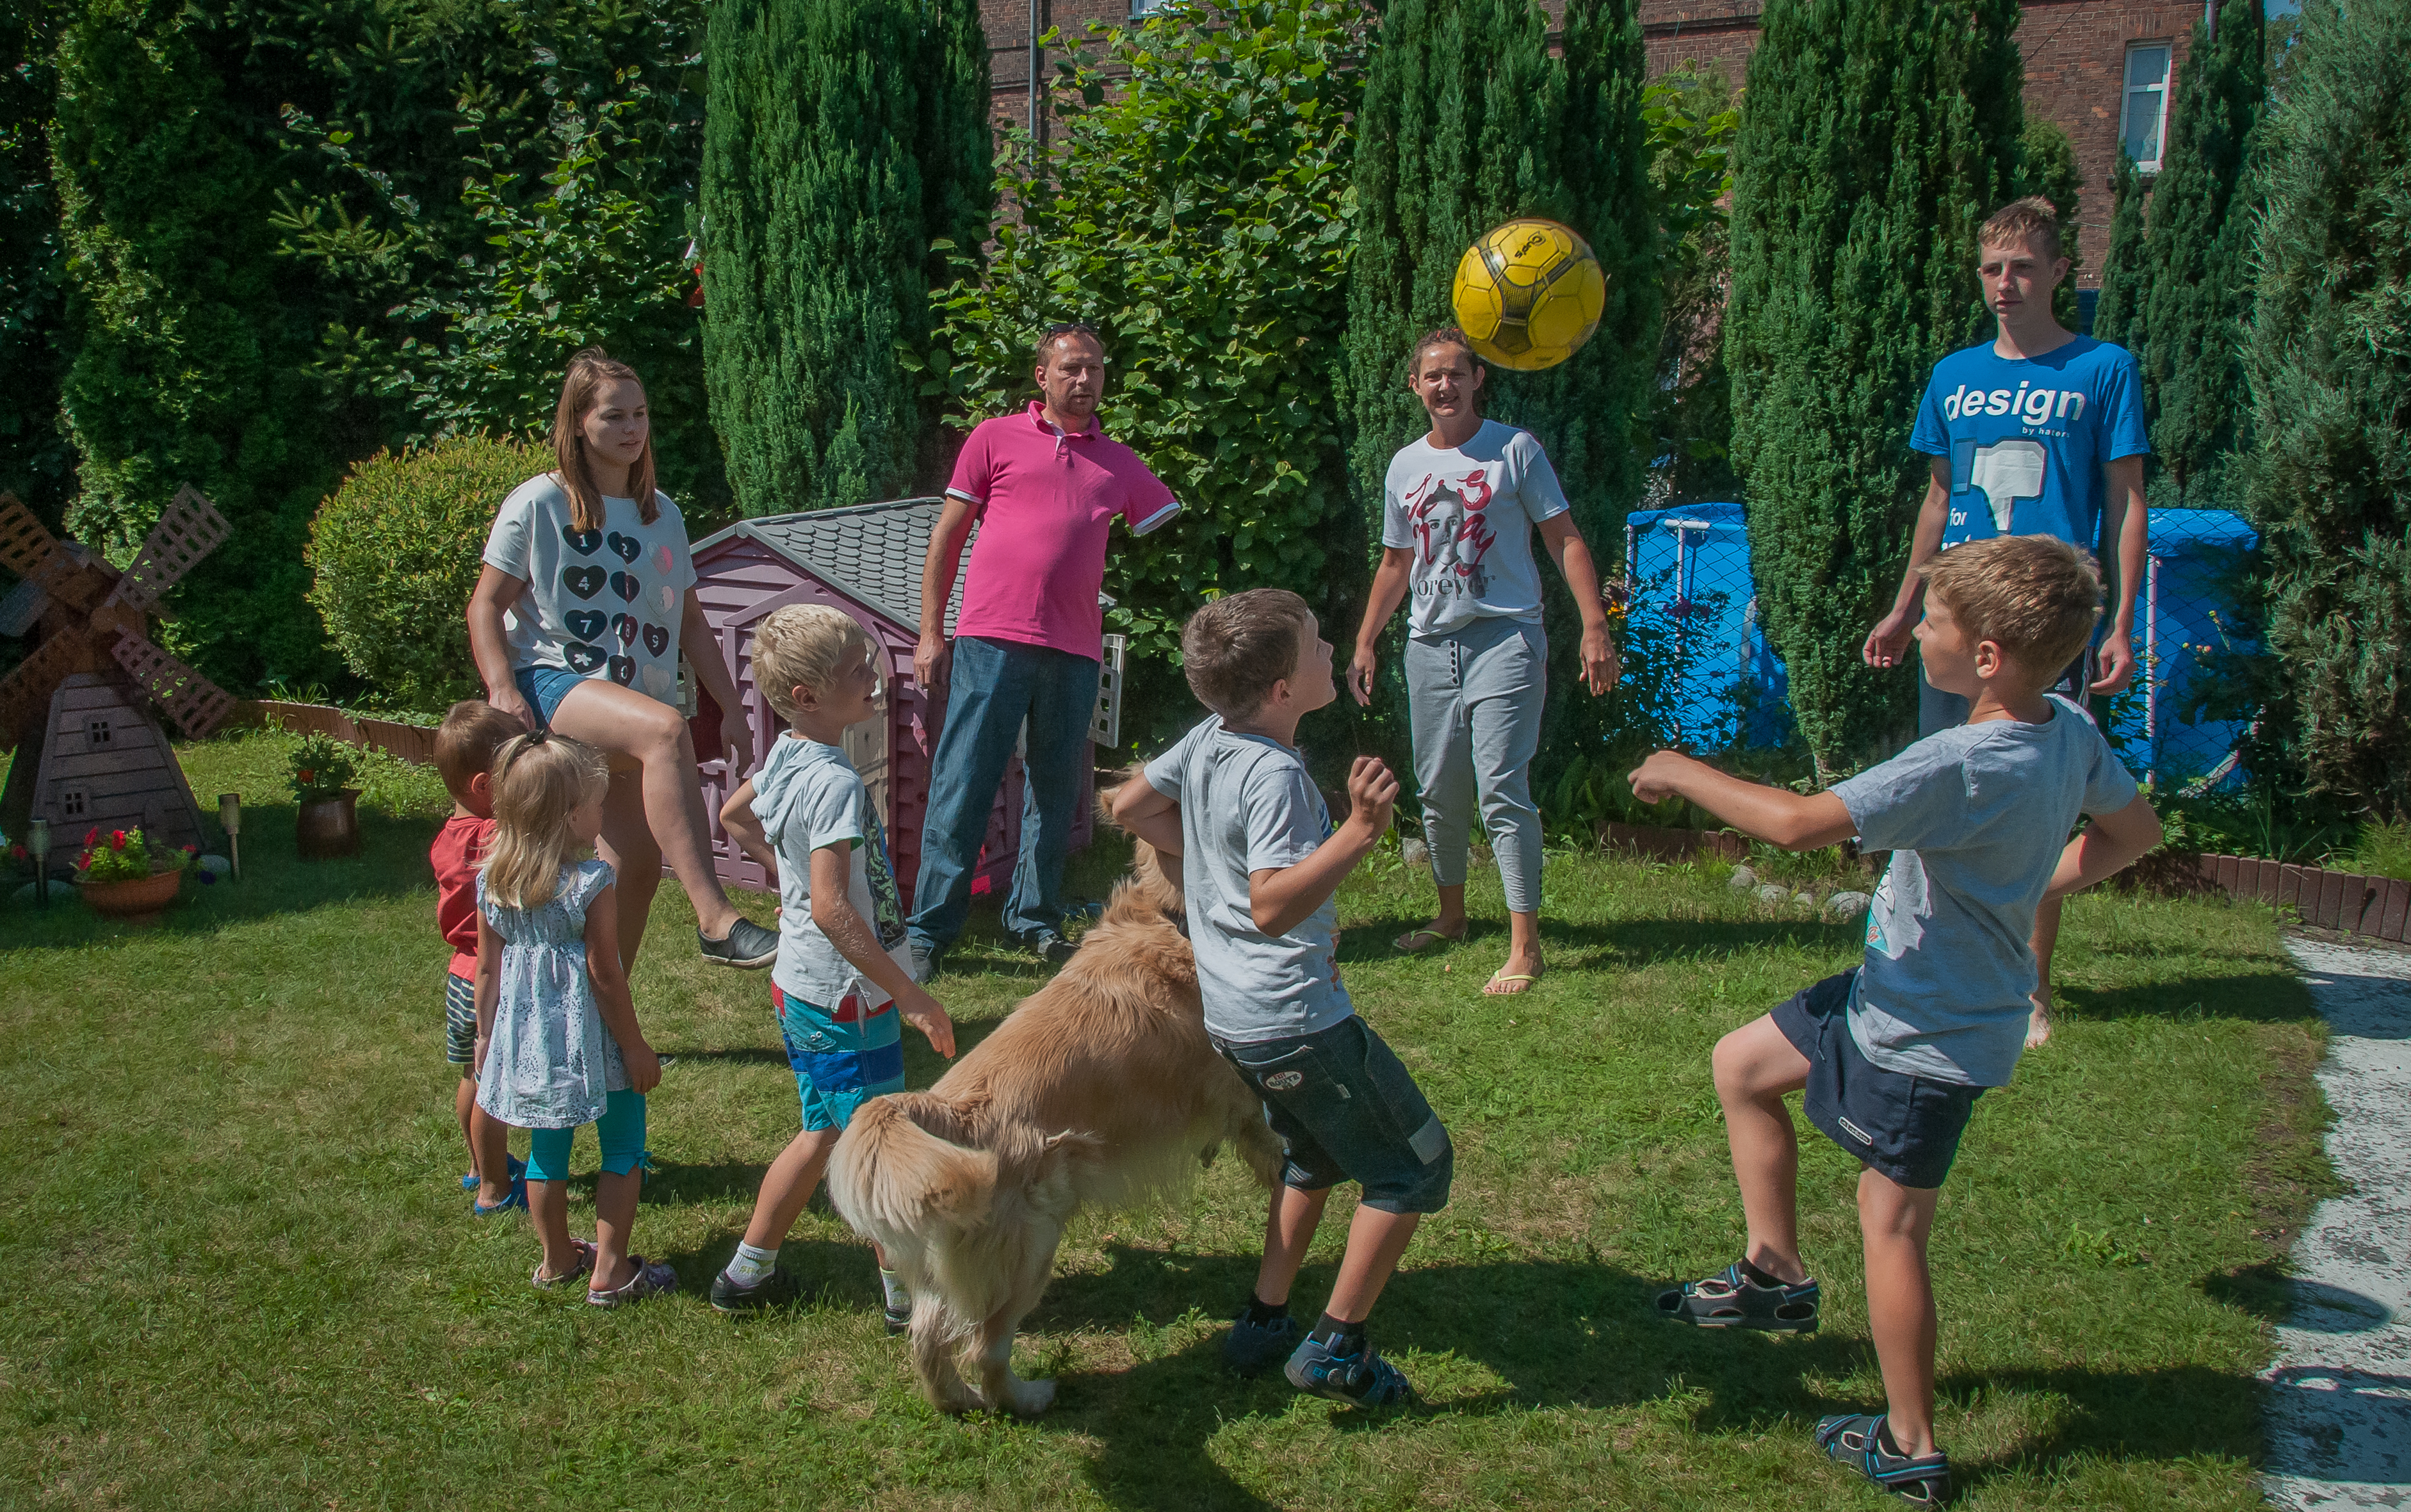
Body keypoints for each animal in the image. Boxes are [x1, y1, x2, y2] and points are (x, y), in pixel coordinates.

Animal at [829, 805, 1282, 1418]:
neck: (1168, 916)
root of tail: (947, 1113)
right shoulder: (1239, 1095)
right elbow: (1271, 1139)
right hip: (1034, 1247)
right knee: (985, 1347)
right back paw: (1027, 1396)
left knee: (927, 1340)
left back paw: (957, 1400)